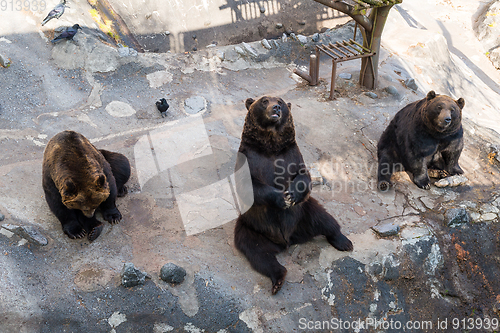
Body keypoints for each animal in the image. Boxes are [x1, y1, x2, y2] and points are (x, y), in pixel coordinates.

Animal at [233, 95, 352, 294]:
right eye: (264, 101)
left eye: (280, 101)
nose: (276, 108)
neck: (270, 147)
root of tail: (288, 240)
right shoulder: (249, 158)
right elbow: (249, 185)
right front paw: (281, 198)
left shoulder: (292, 155)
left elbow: (303, 176)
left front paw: (292, 195)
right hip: (251, 226)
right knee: (257, 252)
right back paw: (277, 279)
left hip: (305, 213)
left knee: (325, 220)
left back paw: (344, 242)